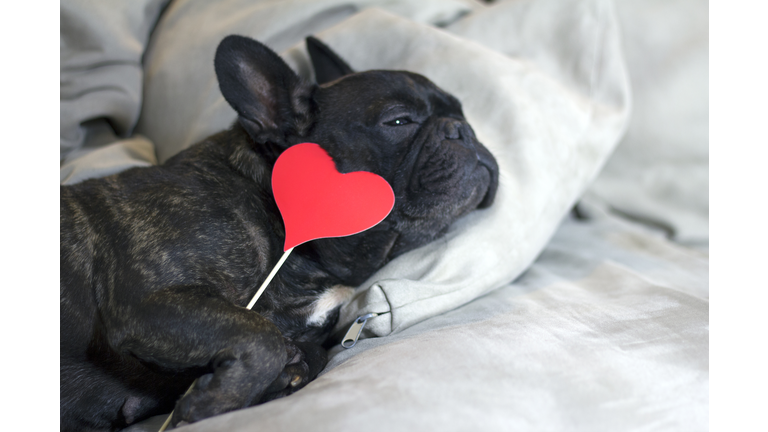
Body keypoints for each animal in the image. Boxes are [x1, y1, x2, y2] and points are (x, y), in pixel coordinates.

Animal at [61, 35, 504, 430]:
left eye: (463, 113)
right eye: (399, 121)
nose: (462, 129)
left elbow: (309, 352)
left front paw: (278, 377)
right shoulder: (147, 302)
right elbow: (261, 336)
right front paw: (211, 403)